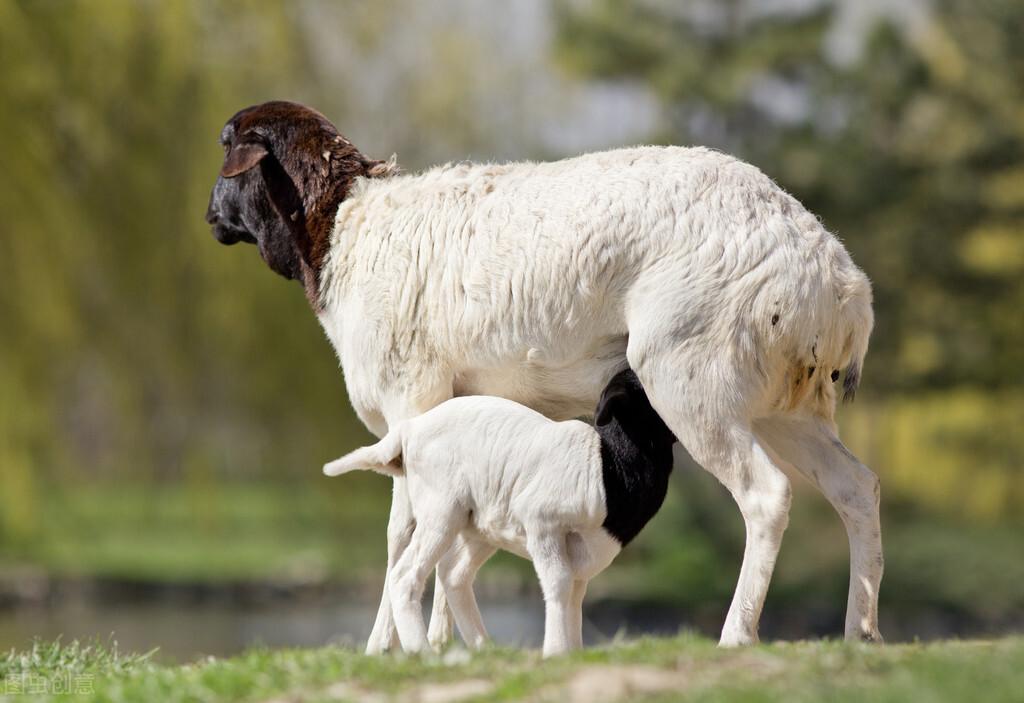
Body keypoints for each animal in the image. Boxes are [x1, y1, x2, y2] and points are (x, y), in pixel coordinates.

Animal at [323, 370, 675, 658]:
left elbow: (576, 596)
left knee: (453, 574)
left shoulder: (581, 553)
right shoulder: (542, 525)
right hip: (441, 512)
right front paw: (555, 653)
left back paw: (483, 648)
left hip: (481, 525)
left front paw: (572, 654)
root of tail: (409, 430)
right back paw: (422, 652)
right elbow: (558, 584)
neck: (606, 465)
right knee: (405, 576)